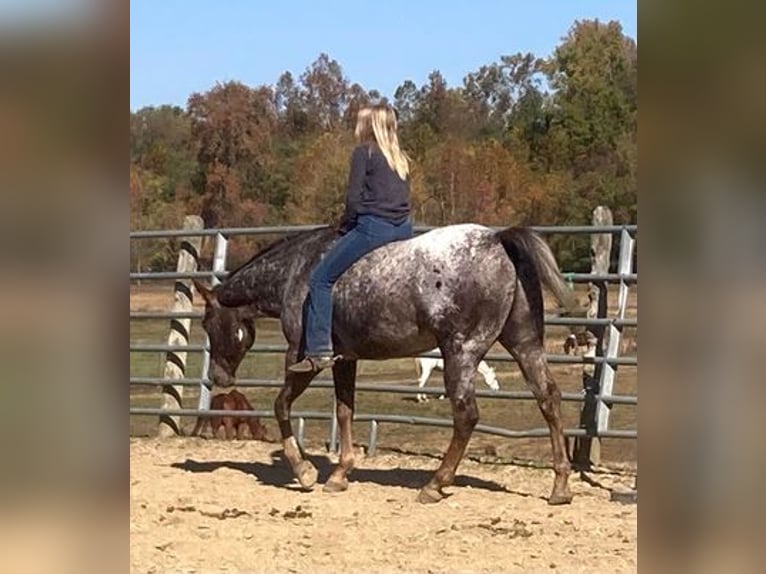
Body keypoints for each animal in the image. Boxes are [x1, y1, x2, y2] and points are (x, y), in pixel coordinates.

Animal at [192, 223, 576, 506]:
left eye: (208, 323)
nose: (218, 377)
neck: (294, 272)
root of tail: (497, 239)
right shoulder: (345, 360)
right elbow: (344, 410)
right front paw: (339, 475)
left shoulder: (304, 358)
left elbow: (281, 405)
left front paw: (304, 472)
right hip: (524, 345)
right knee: (548, 397)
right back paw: (560, 487)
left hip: (461, 353)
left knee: (467, 415)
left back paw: (434, 484)